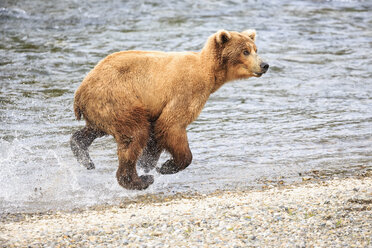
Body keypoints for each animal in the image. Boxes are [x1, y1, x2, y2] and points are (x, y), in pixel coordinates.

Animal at [70, 30, 268, 191]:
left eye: (256, 49)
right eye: (245, 51)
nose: (264, 65)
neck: (210, 73)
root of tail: (80, 92)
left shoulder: (157, 108)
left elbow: (156, 134)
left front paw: (149, 162)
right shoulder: (187, 90)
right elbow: (171, 124)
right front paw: (167, 166)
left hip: (102, 110)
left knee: (95, 130)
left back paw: (84, 155)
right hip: (118, 98)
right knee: (135, 133)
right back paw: (140, 180)